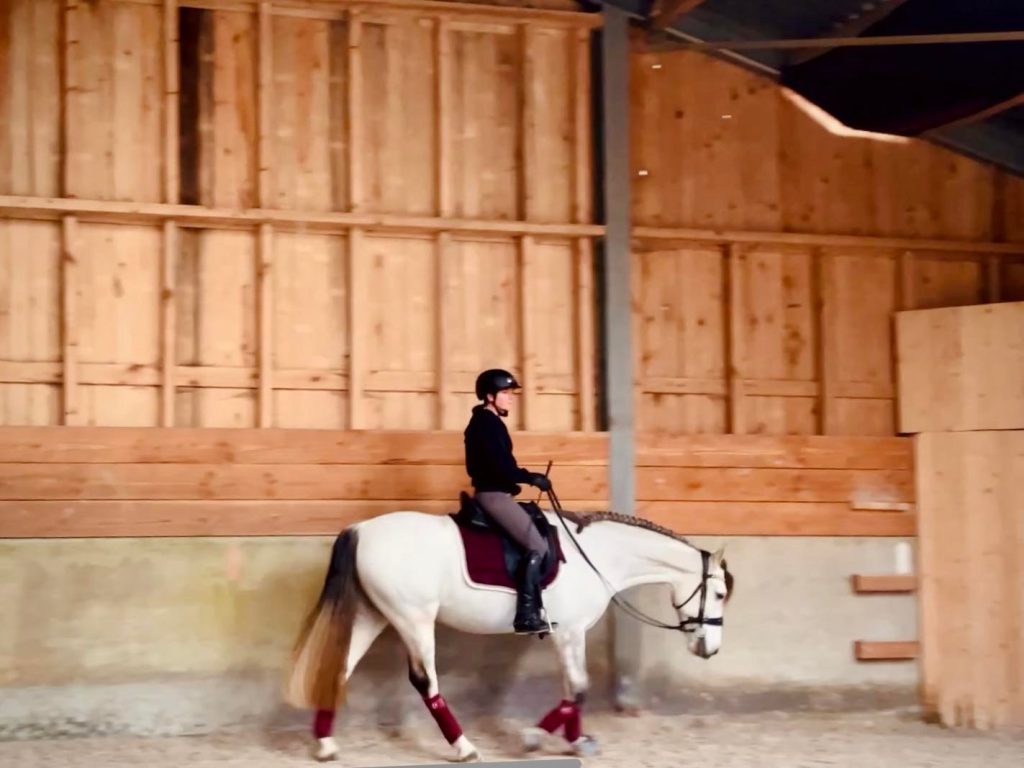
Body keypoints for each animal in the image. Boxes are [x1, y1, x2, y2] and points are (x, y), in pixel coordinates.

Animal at [286, 495, 737, 761]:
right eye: (717, 594)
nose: (709, 649)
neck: (599, 555)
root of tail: (361, 530)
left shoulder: (567, 634)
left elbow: (573, 687)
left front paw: (575, 741)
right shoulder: (570, 632)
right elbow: (579, 687)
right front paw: (534, 738)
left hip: (374, 615)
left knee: (341, 668)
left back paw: (325, 744)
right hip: (413, 619)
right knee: (425, 682)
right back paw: (464, 747)